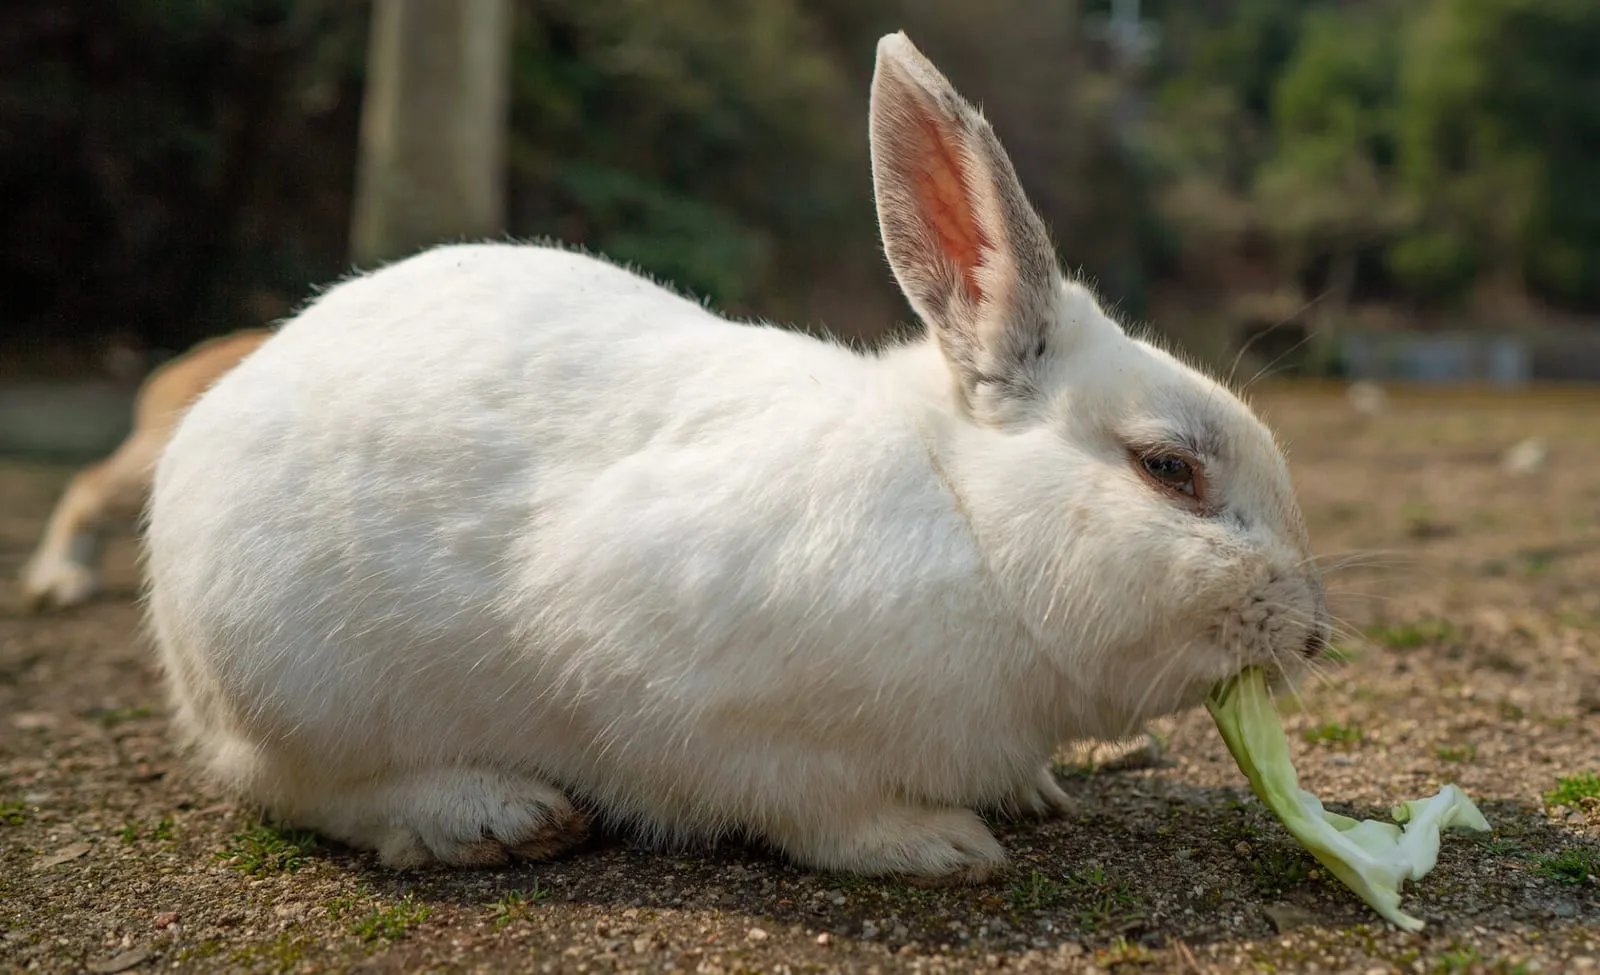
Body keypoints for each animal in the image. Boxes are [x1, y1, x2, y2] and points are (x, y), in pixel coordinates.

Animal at [143, 32, 1329, 884]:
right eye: (1169, 470)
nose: (1312, 634)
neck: (970, 520)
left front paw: (1035, 794)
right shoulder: (689, 698)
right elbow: (802, 803)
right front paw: (938, 845)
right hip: (299, 685)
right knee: (298, 789)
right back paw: (492, 816)